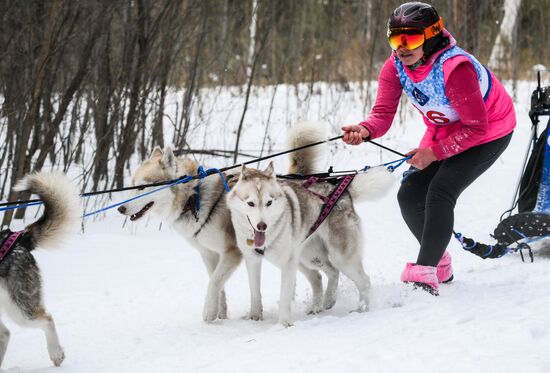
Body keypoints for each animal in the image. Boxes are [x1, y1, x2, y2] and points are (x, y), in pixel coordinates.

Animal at [118, 147, 242, 322]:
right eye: (132, 186)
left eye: (141, 187)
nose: (120, 208)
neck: (193, 198)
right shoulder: (209, 253)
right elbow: (217, 282)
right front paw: (221, 313)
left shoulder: (232, 252)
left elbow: (214, 282)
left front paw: (209, 311)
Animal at [226, 120, 394, 324]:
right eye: (250, 203)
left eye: (269, 202)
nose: (261, 226)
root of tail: (342, 190)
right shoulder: (252, 261)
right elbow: (255, 293)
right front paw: (254, 316)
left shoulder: (287, 264)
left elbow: (285, 296)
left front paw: (283, 324)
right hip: (308, 256)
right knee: (327, 273)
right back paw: (324, 302)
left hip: (339, 257)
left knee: (363, 280)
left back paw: (361, 308)